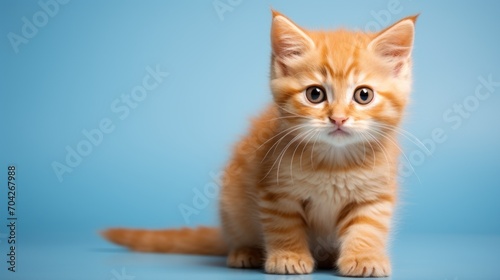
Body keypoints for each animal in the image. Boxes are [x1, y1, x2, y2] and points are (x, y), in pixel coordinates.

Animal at [103, 10, 416, 278]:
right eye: (315, 94)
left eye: (364, 95)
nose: (338, 118)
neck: (333, 162)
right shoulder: (276, 191)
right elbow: (283, 224)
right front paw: (288, 256)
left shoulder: (374, 194)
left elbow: (368, 227)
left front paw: (364, 257)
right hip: (232, 204)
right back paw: (246, 251)